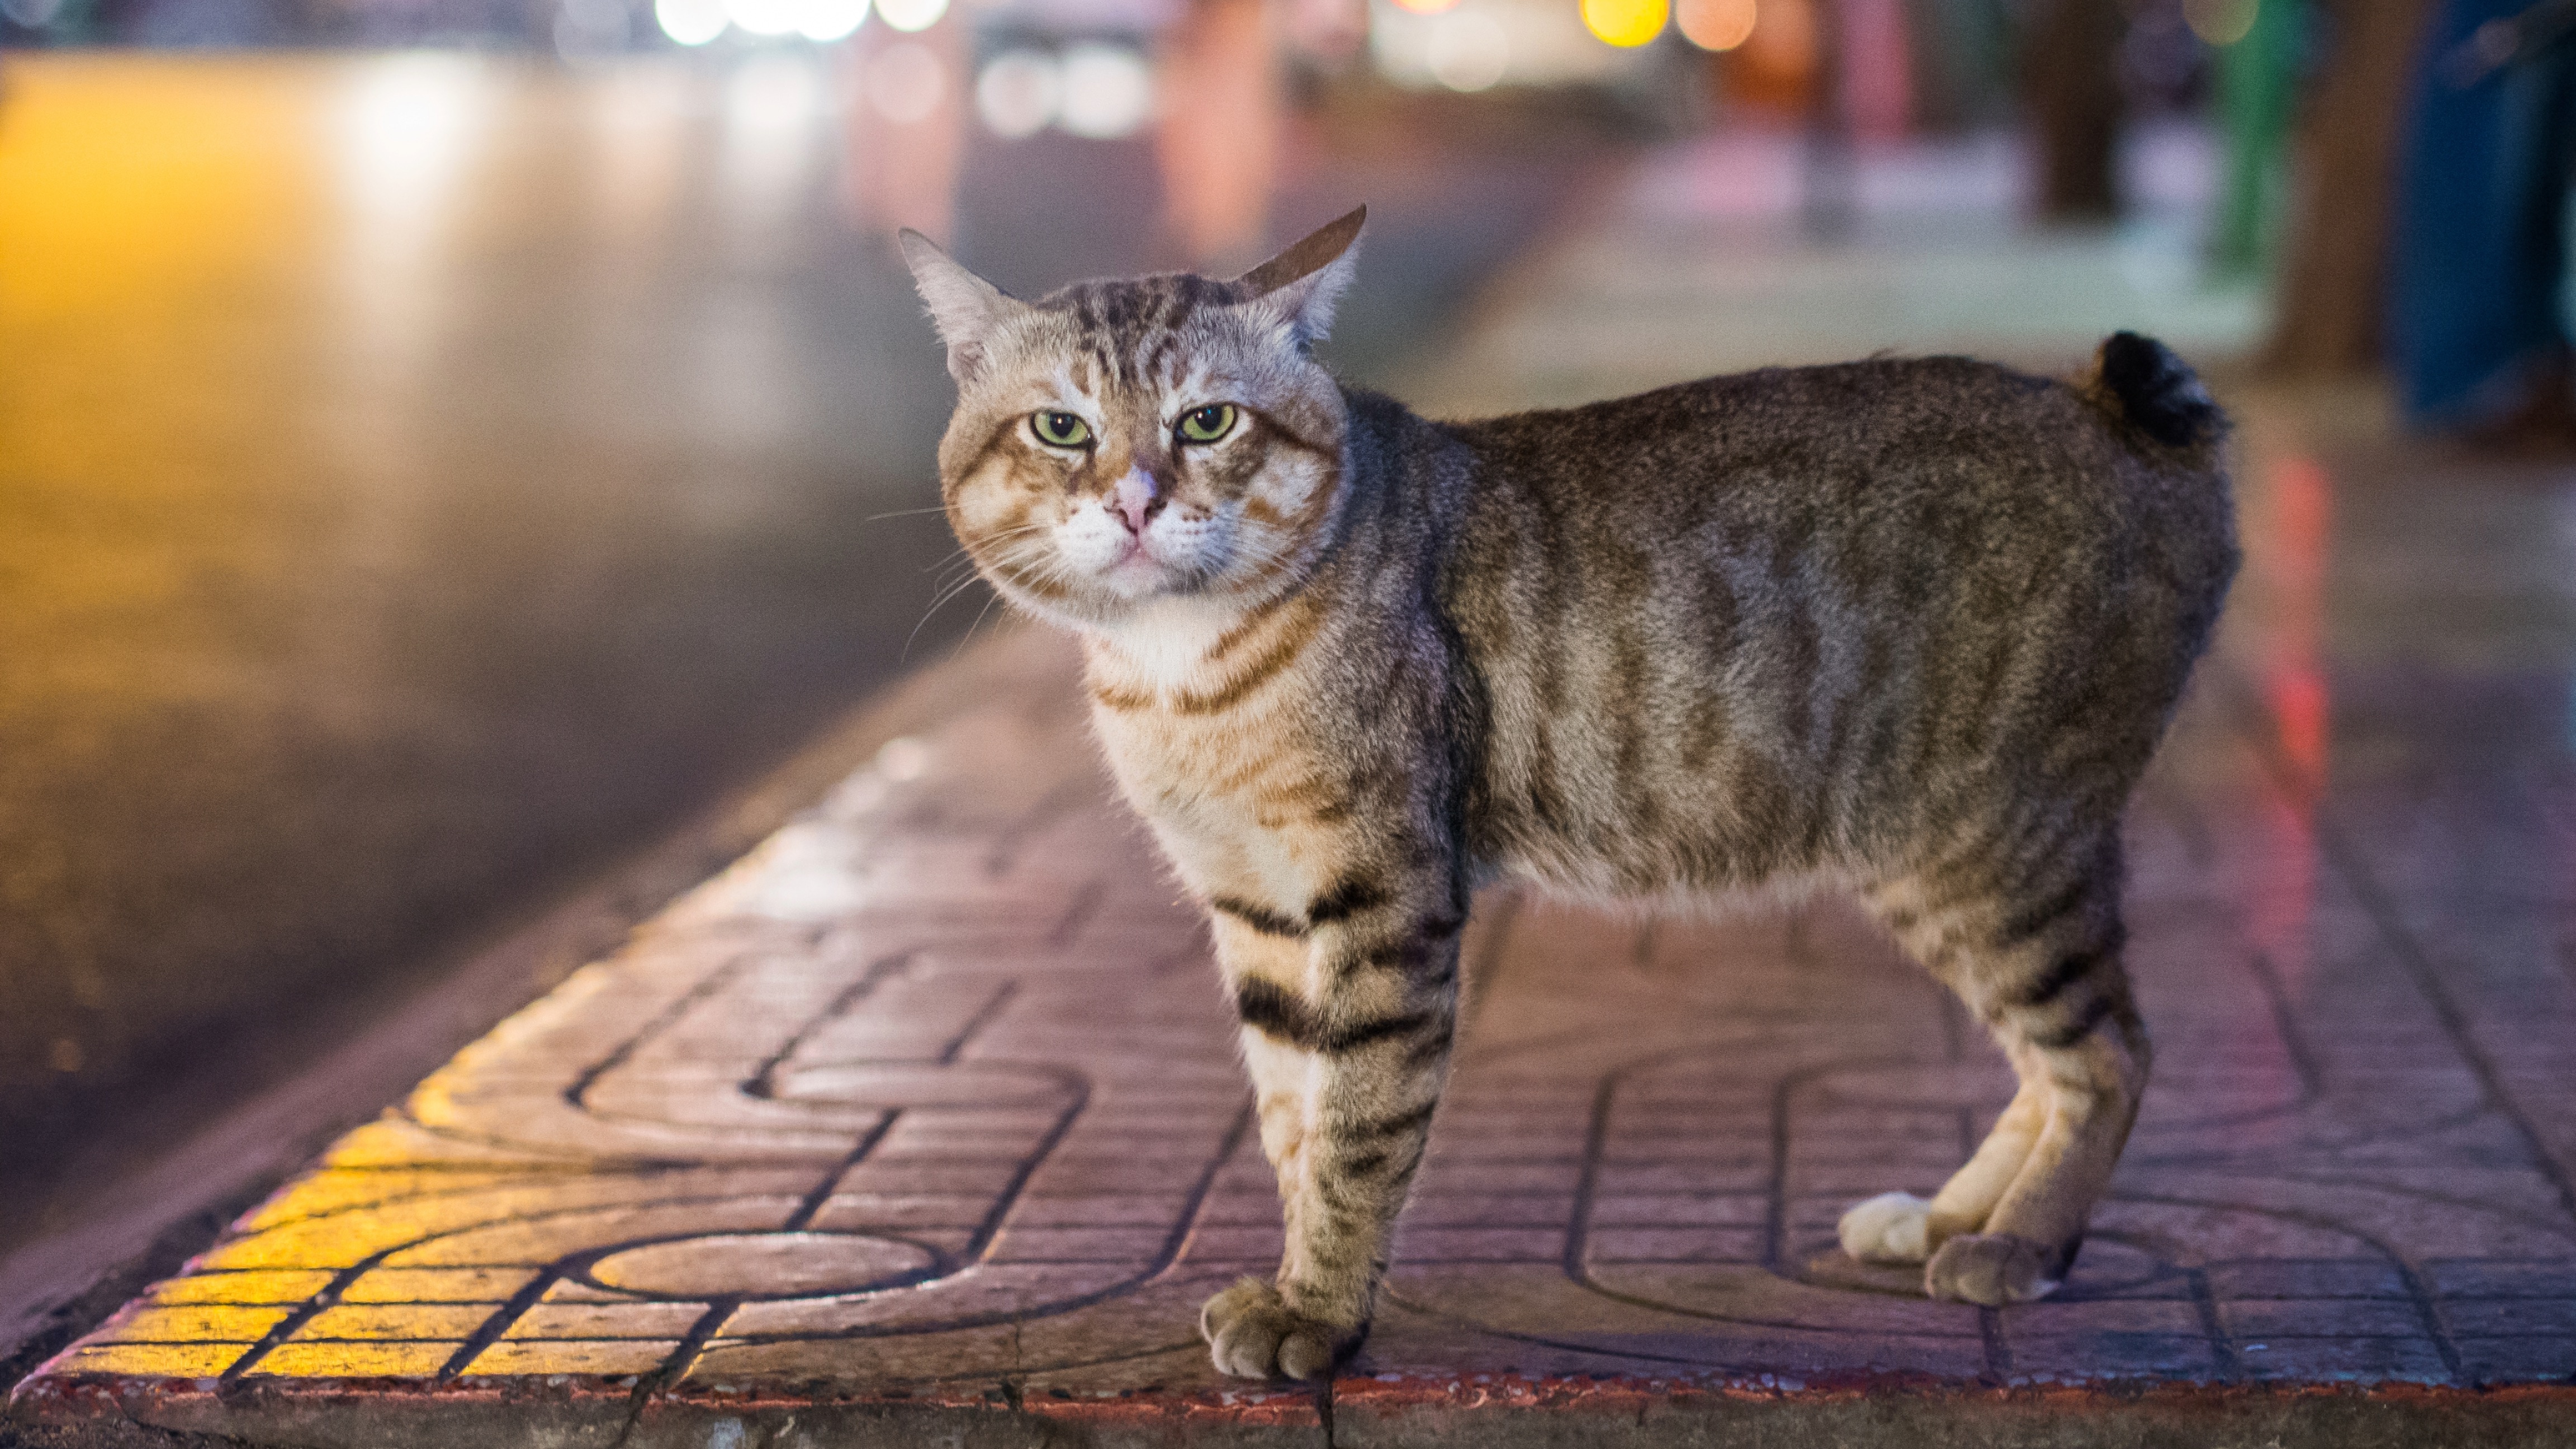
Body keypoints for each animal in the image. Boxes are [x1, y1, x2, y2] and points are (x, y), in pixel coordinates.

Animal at [901, 206, 2236, 1371]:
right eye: (1060, 428)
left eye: (1209, 421)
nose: (1135, 499)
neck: (1177, 678)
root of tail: (2105, 408)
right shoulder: (1254, 905)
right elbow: (1293, 1114)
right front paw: (1299, 1280)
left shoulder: (1385, 897)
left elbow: (1357, 1125)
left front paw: (1318, 1312)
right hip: (1932, 863)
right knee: (2045, 1063)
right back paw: (1953, 1216)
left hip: (1992, 844)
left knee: (2110, 1052)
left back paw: (2022, 1244)